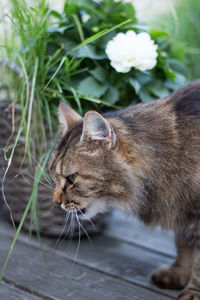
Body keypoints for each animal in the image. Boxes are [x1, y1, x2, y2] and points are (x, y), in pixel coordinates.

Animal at [48, 81, 200, 298]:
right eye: (52, 175)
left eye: (71, 178)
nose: (56, 202)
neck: (172, 155)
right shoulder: (183, 211)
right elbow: (184, 245)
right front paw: (177, 275)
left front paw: (193, 291)